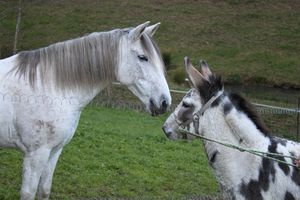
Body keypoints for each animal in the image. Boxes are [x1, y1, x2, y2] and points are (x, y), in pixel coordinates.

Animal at [0, 21, 171, 200]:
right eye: (143, 57)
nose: (165, 102)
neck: (47, 86)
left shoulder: (54, 151)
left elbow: (44, 190)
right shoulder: (35, 154)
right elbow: (28, 193)